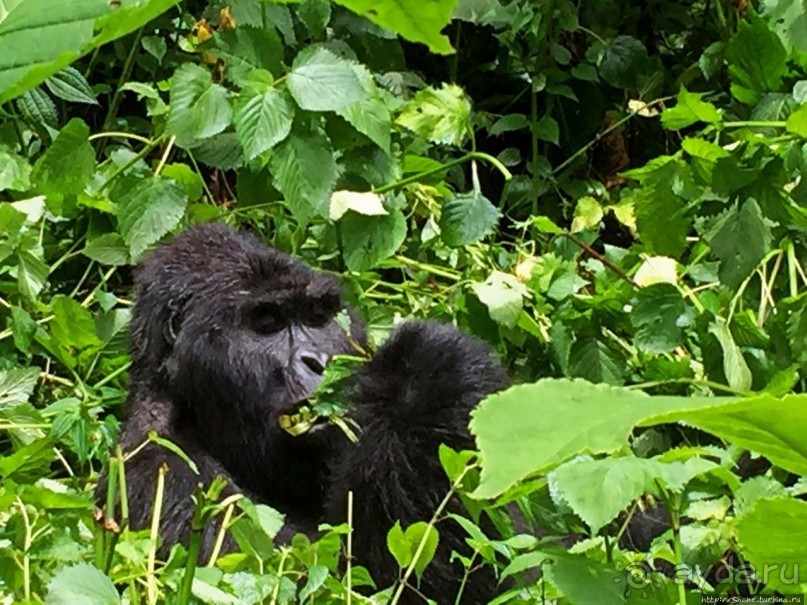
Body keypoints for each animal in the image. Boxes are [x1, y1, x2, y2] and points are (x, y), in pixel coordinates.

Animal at [99, 224, 504, 600]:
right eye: (267, 324)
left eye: (317, 317)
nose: (320, 361)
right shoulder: (161, 475)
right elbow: (328, 585)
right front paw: (423, 377)